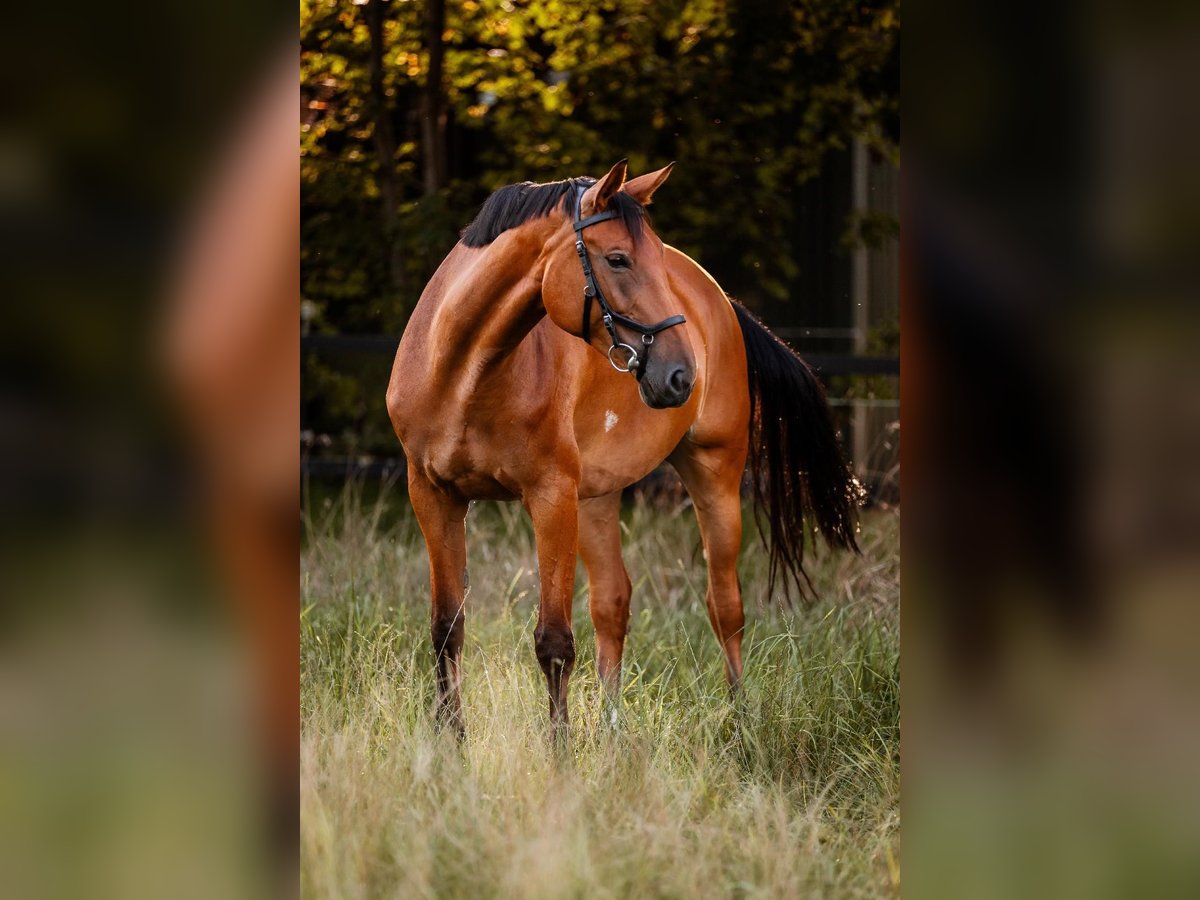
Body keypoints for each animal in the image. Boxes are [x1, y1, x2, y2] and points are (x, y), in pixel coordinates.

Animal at [386, 162, 864, 739]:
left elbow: (553, 641)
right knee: (613, 602)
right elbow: (447, 629)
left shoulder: (549, 498)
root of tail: (720, 300)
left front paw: (560, 751)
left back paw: (740, 722)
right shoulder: (433, 496)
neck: (463, 371)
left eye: (654, 258)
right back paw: (611, 729)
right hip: (595, 498)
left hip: (713, 474)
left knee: (725, 606)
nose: (681, 375)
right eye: (617, 258)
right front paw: (452, 745)